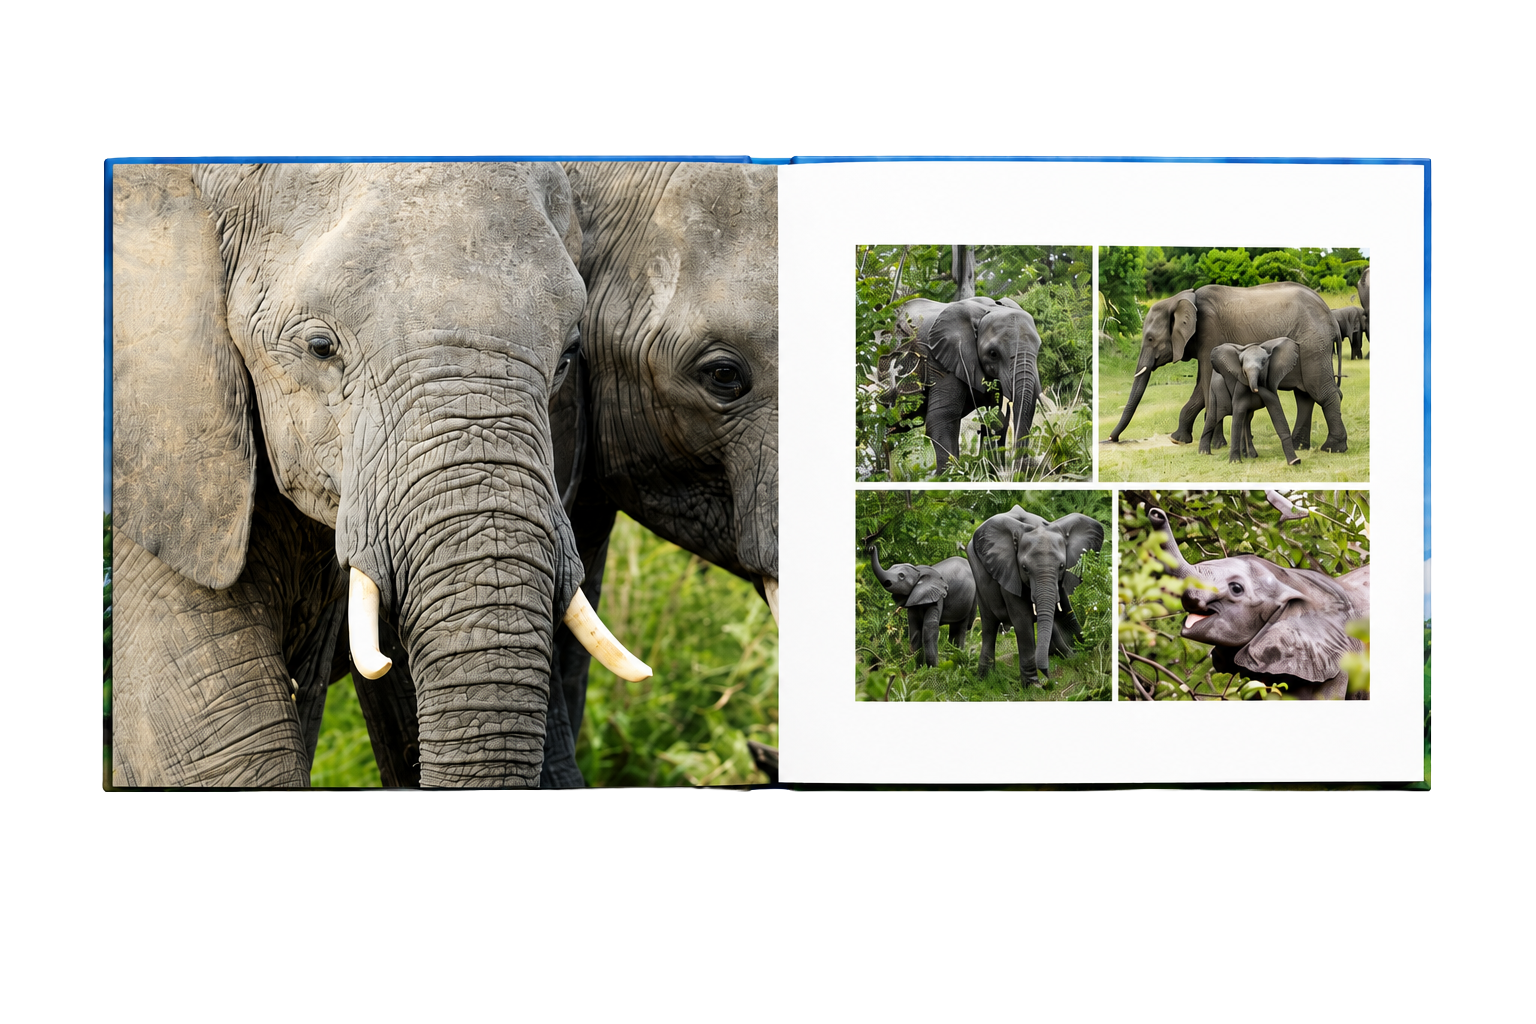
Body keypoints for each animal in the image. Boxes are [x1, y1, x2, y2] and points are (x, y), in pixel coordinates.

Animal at [880, 295, 1045, 473]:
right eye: (993, 354)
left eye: (1038, 348)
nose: (1022, 467)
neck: (987, 309)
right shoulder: (940, 359)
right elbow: (943, 415)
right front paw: (950, 475)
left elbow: (994, 414)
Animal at [966, 507, 1105, 684]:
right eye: (1025, 568)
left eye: (1062, 566)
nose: (1048, 676)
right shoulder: (1009, 572)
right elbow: (1022, 622)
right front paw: (1033, 686)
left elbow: (1065, 611)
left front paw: (1085, 653)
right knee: (989, 626)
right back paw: (984, 679)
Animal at [1105, 282, 1347, 452]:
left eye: (1150, 339)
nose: (1110, 438)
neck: (1183, 298)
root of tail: (1330, 316)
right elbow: (1202, 387)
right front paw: (1178, 439)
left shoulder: (1210, 333)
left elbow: (1206, 383)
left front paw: (1215, 444)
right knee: (1304, 396)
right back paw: (1300, 447)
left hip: (1313, 345)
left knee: (1322, 392)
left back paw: (1333, 448)